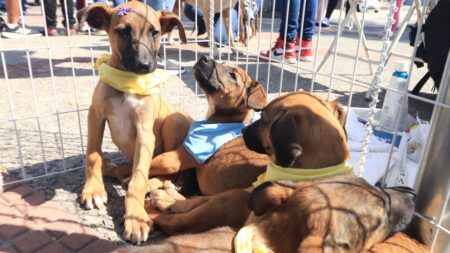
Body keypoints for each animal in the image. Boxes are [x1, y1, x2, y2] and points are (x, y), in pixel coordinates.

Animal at [78, 0, 190, 244]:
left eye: (155, 32)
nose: (144, 65)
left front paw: (136, 218)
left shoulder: (145, 133)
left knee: (166, 172)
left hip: (175, 121)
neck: (128, 83)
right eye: (124, 32)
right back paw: (112, 168)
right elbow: (93, 154)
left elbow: (139, 177)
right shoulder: (95, 115)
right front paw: (93, 190)